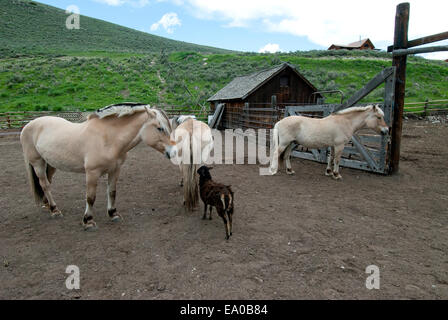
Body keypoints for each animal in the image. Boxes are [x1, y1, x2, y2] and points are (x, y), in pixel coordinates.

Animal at [21, 103, 175, 230]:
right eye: (160, 128)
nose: (173, 152)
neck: (108, 138)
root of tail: (28, 125)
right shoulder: (92, 173)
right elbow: (90, 197)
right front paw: (88, 221)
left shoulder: (115, 170)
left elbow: (112, 192)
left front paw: (113, 214)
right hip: (38, 163)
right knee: (45, 184)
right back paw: (54, 210)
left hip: (50, 164)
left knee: (47, 183)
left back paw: (48, 205)